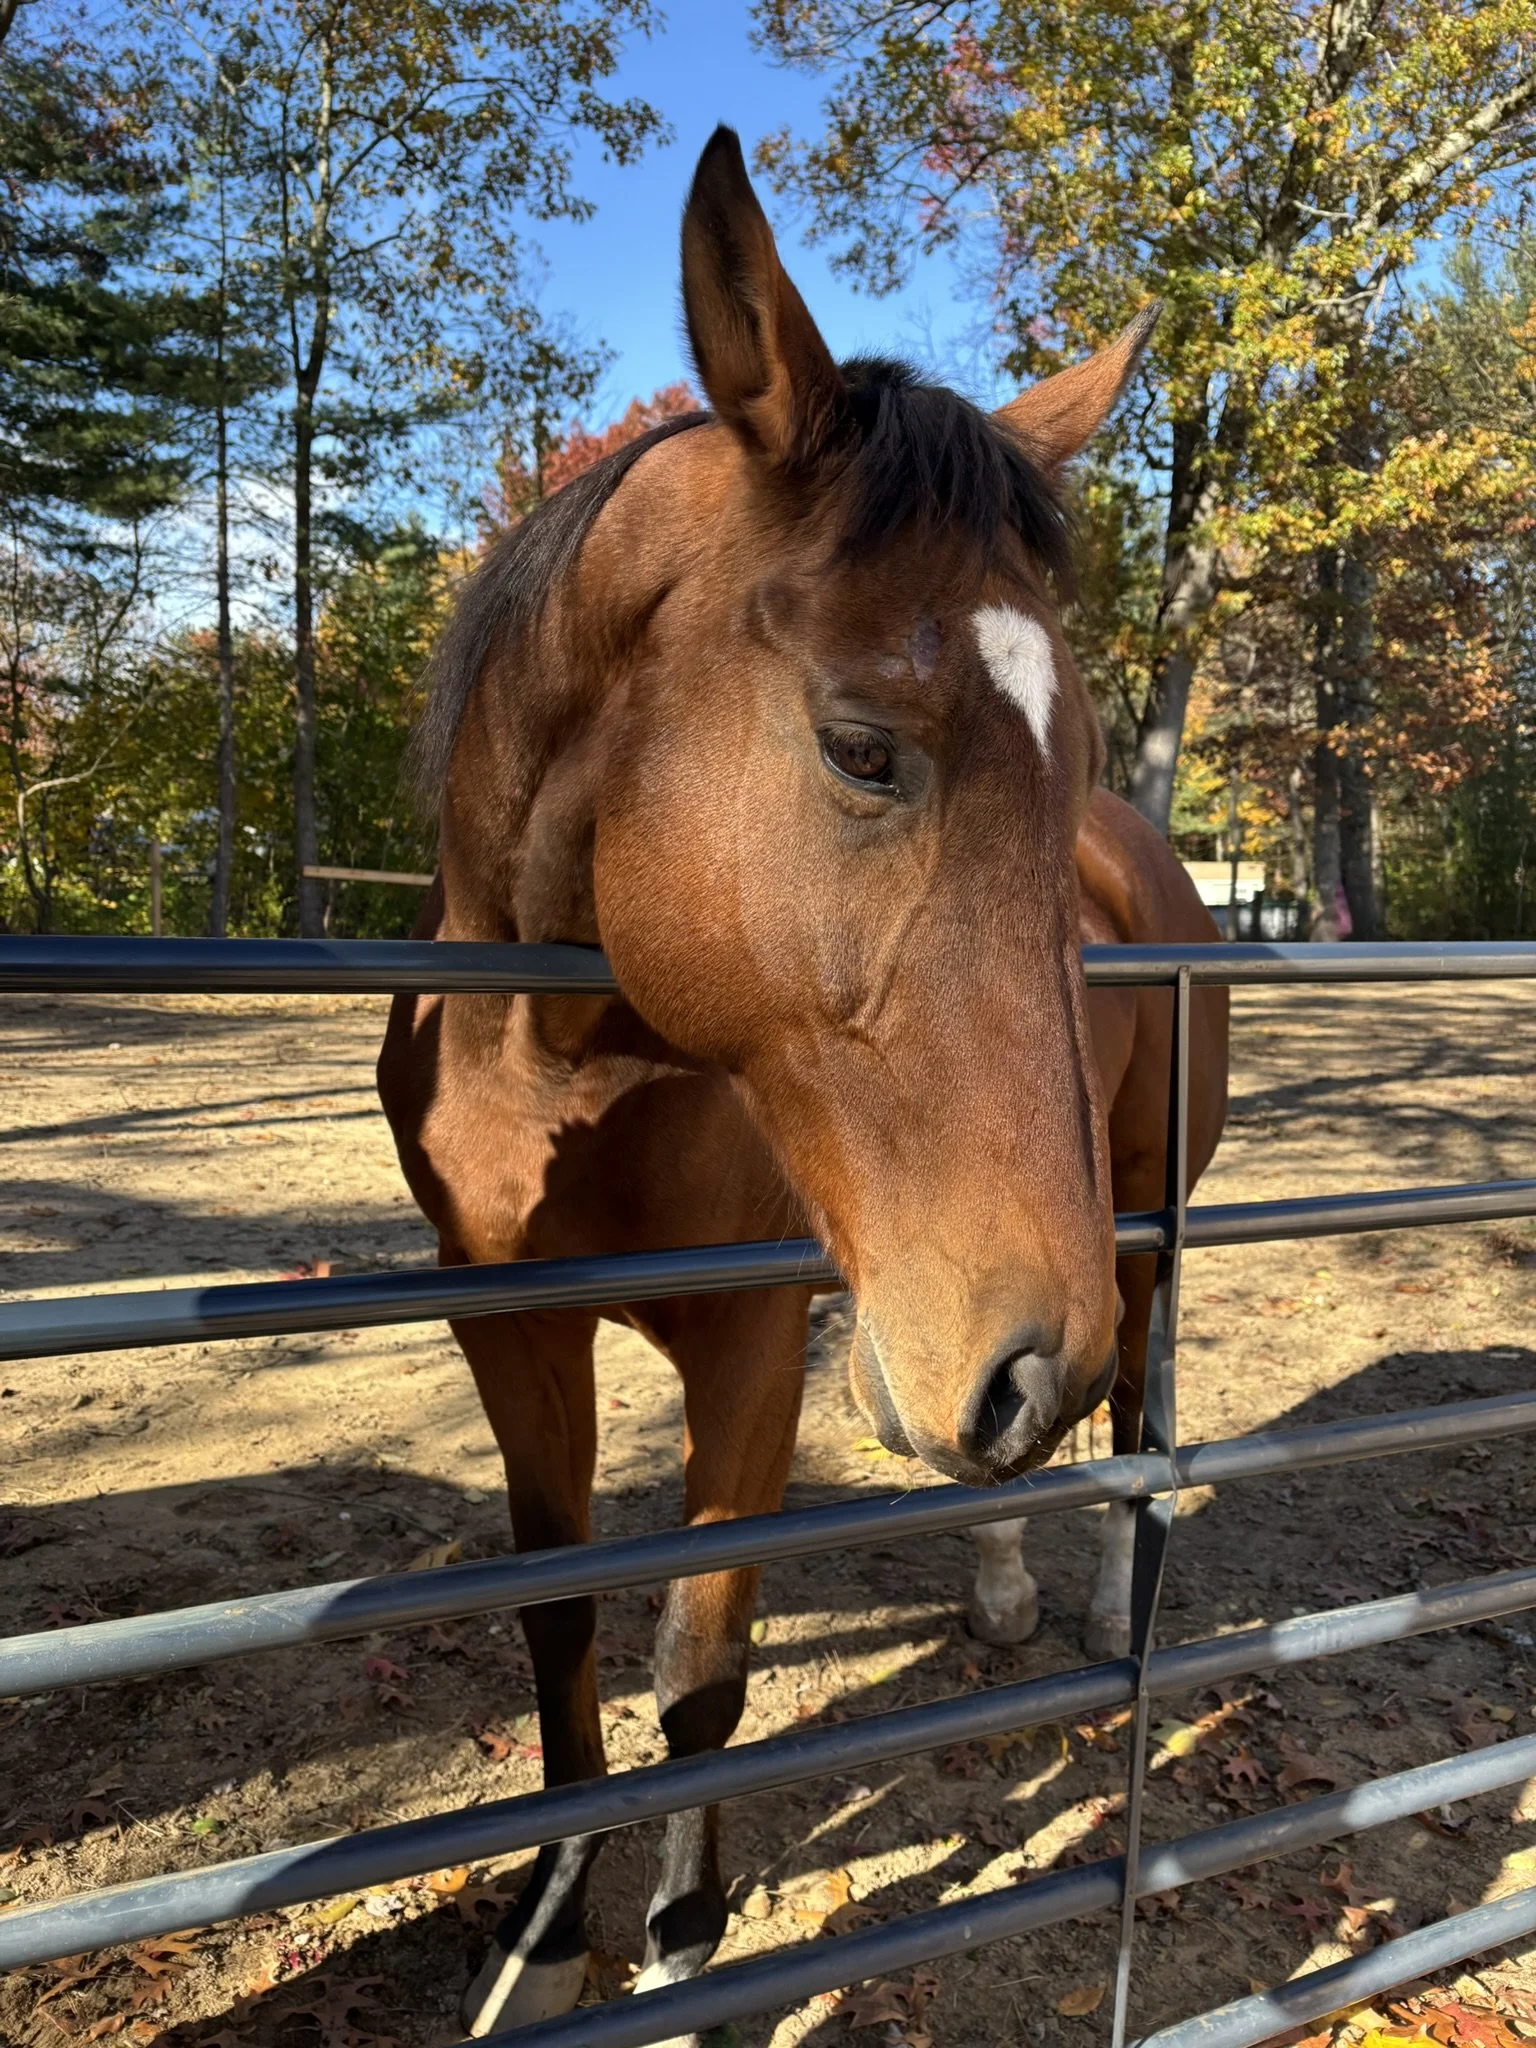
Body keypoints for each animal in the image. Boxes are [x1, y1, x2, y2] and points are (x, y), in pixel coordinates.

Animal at [377, 124, 1228, 2039]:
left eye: (1072, 746)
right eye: (861, 747)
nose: (1025, 1350)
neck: (566, 1069)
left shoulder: (756, 1344)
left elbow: (703, 1660)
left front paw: (685, 1951)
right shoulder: (503, 1320)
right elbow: (564, 1625)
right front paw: (547, 1935)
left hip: (1123, 1233)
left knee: (1131, 1399)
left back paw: (1104, 1599)